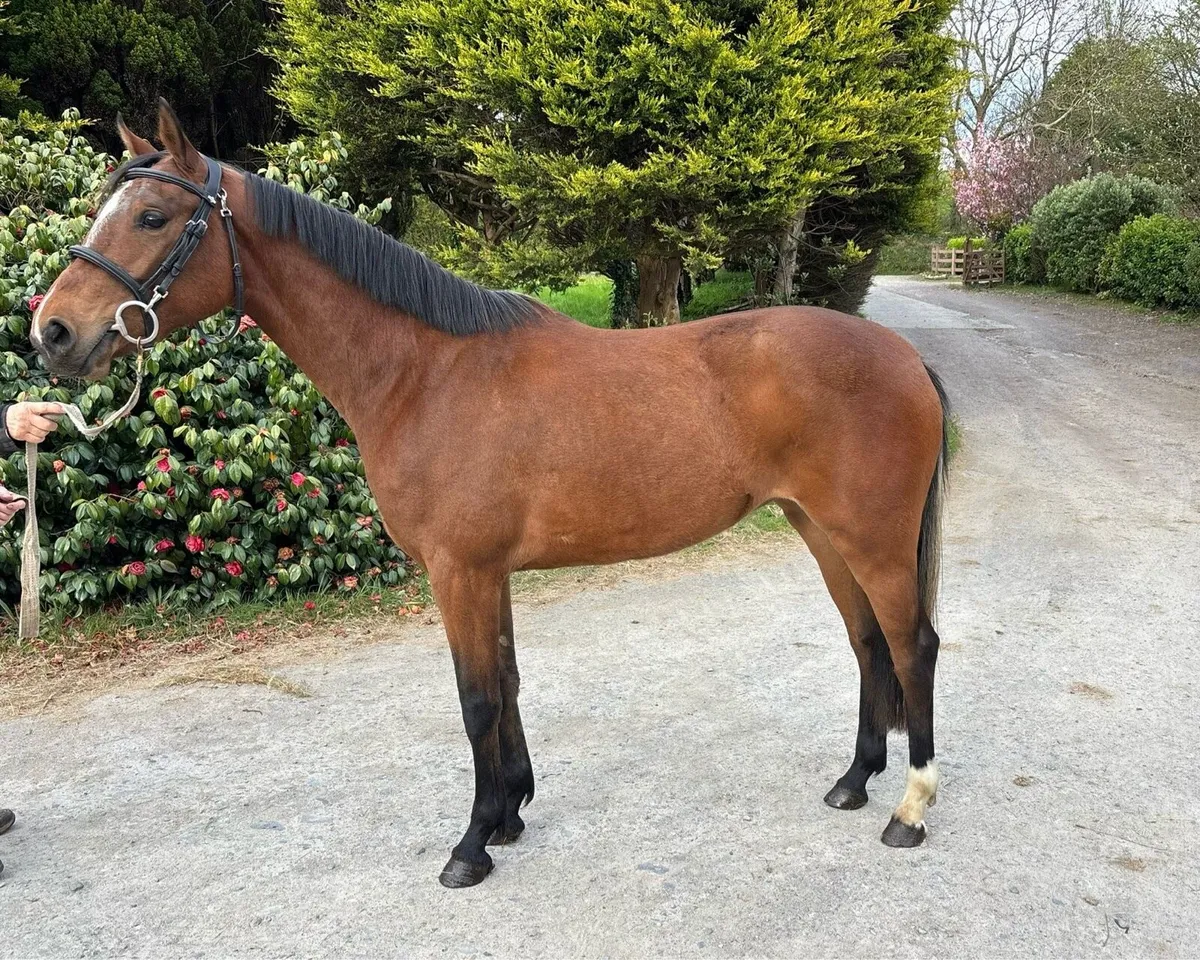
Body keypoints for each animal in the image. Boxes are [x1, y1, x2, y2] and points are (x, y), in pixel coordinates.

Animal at [32, 101, 950, 888]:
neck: (424, 373)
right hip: (820, 531)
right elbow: (505, 684)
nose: (53, 332)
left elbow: (475, 700)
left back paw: (908, 812)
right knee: (868, 644)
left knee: (914, 646)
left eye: (153, 217)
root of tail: (904, 357)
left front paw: (470, 845)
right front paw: (509, 814)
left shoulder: (459, 571)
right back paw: (854, 781)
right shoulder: (489, 574)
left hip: (870, 539)